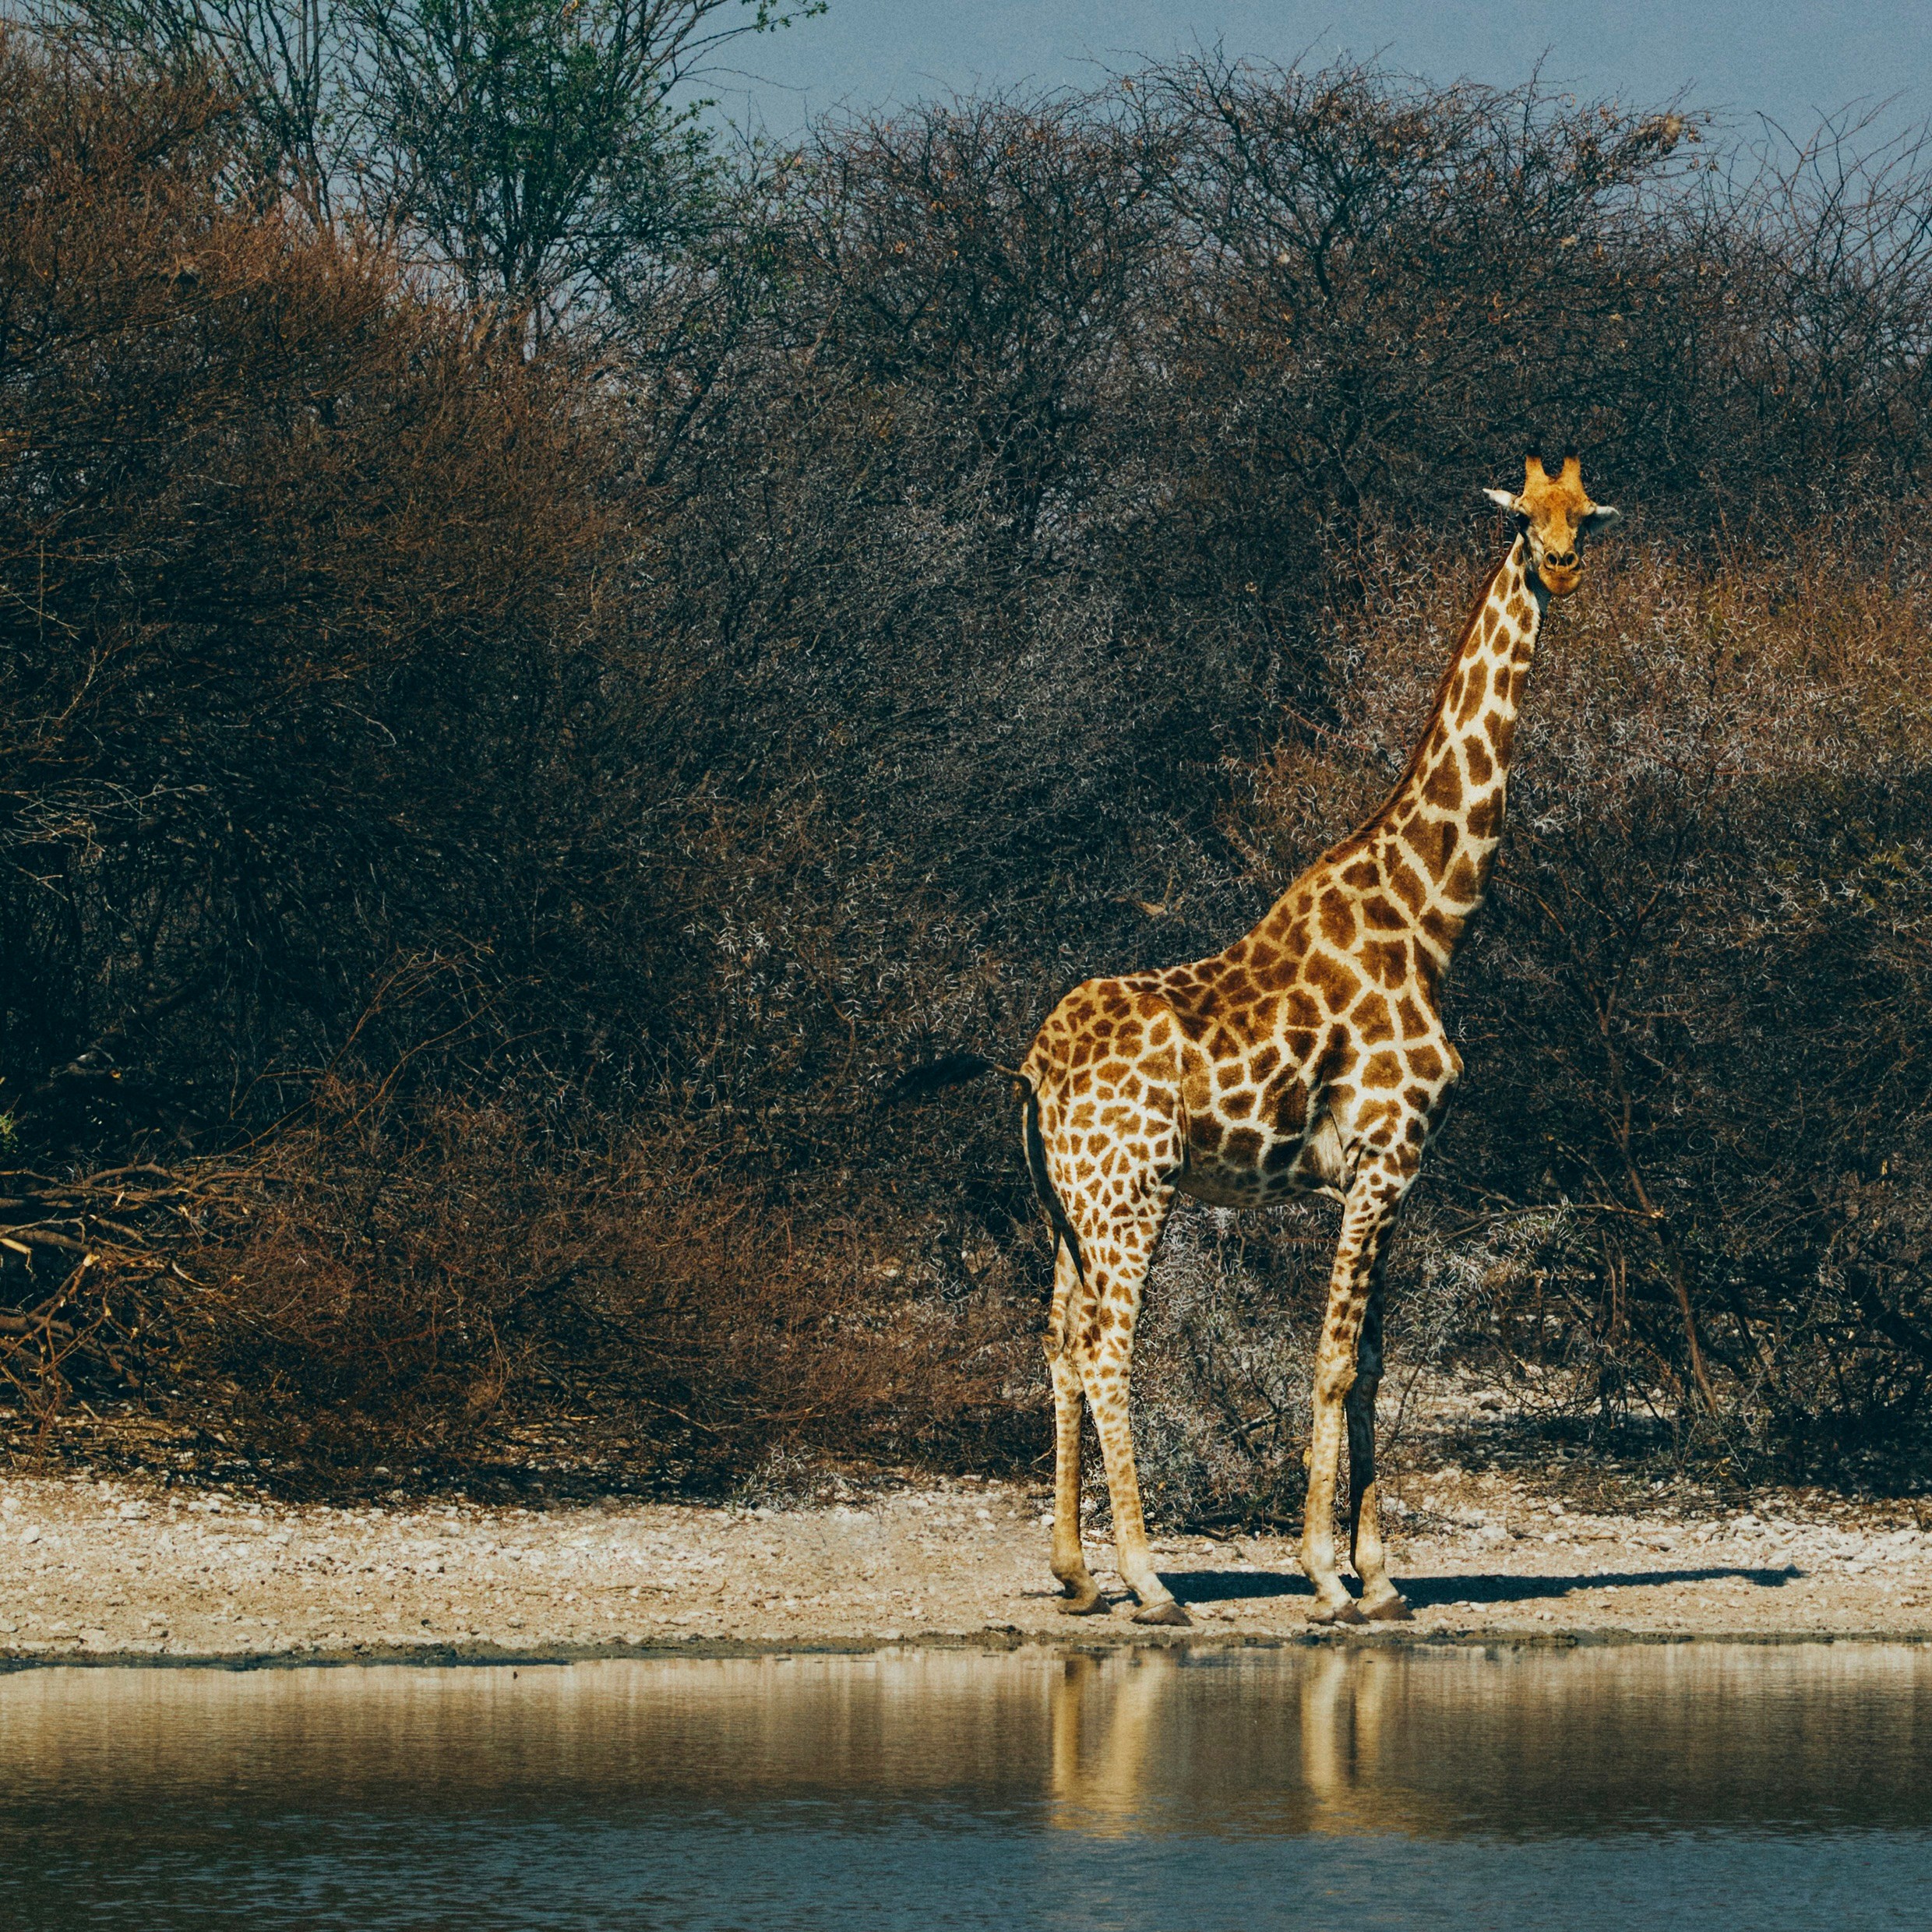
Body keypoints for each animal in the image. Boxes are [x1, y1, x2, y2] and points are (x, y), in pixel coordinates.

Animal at [898, 455, 1616, 1626]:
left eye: (1585, 515)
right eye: (1522, 517)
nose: (1560, 565)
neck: (1429, 922)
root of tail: (1031, 1067)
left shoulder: (1393, 1172)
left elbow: (1371, 1364)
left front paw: (1381, 1579)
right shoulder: (1381, 1159)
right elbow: (1331, 1363)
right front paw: (1325, 1575)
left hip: (1063, 1207)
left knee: (1057, 1343)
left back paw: (1076, 1574)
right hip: (1131, 1194)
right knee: (1109, 1350)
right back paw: (1150, 1582)